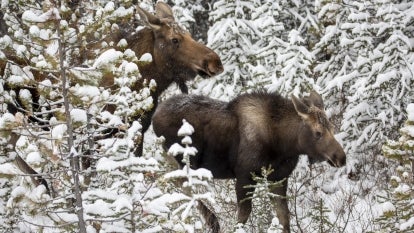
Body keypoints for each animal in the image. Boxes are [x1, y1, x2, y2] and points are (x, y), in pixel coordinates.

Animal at [152, 90, 346, 233]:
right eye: (318, 132)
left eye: (332, 127)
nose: (341, 158)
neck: (283, 144)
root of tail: (154, 117)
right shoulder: (245, 176)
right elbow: (243, 217)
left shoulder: (278, 178)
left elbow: (284, 218)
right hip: (180, 159)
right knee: (177, 182)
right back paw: (212, 221)